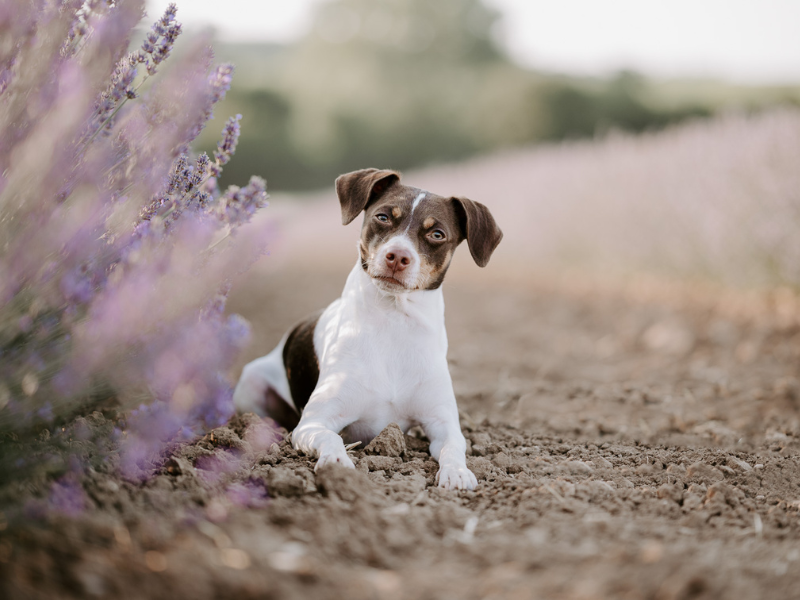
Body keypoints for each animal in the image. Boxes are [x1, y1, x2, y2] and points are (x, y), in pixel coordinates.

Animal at [234, 166, 504, 490]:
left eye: (437, 234)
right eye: (383, 217)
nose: (397, 256)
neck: (394, 322)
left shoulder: (442, 421)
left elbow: (454, 446)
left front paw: (457, 472)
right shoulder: (313, 422)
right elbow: (331, 437)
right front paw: (337, 462)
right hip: (251, 384)